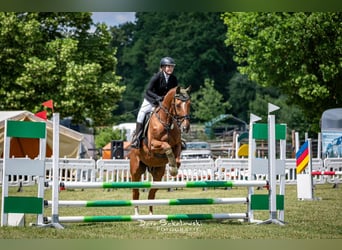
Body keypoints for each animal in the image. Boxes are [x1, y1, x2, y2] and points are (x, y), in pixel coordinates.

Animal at [129, 86, 191, 215]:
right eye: (178, 105)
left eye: (189, 104)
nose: (185, 128)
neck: (166, 122)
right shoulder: (152, 145)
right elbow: (166, 146)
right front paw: (173, 168)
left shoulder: (177, 144)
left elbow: (177, 156)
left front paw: (173, 168)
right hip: (136, 171)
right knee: (135, 192)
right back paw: (137, 214)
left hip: (158, 174)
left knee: (151, 194)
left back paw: (151, 214)